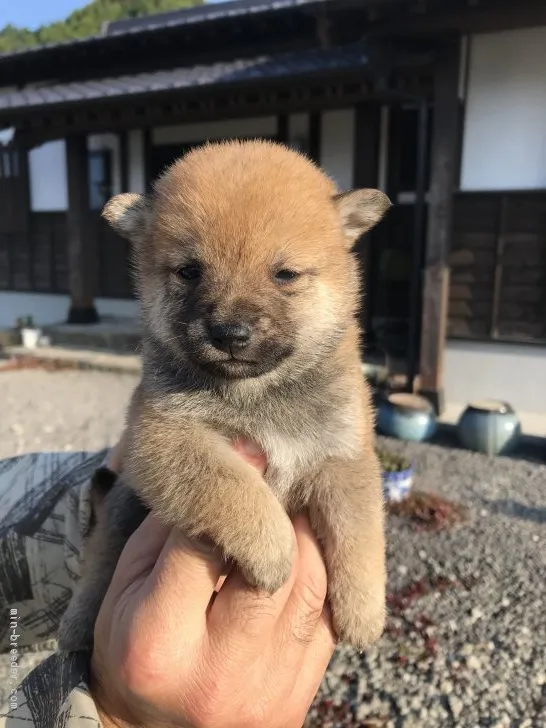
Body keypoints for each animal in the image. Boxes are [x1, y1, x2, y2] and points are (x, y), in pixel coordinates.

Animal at [58, 139, 392, 652]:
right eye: (189, 271)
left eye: (285, 274)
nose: (230, 333)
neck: (258, 396)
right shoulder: (160, 437)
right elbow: (232, 486)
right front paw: (273, 548)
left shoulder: (343, 455)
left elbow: (359, 534)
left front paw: (364, 613)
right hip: (119, 509)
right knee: (97, 567)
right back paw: (76, 627)